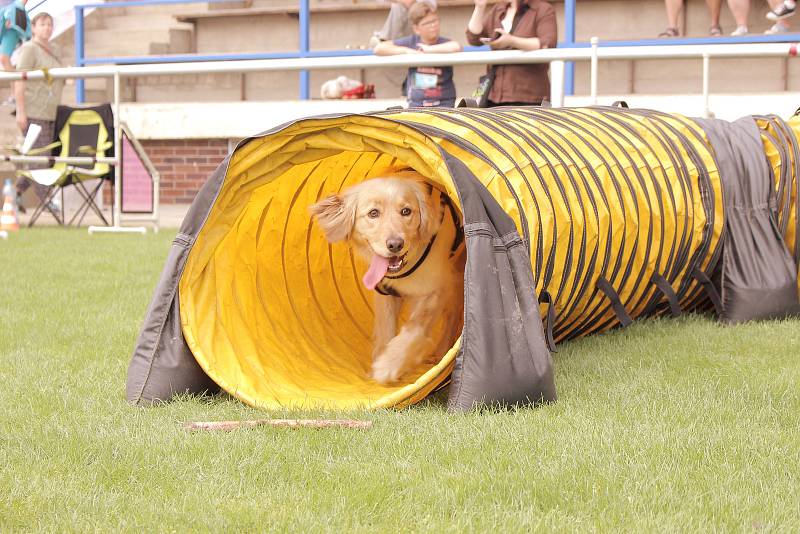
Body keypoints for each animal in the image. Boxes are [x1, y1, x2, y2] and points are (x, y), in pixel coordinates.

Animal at [310, 173, 466, 386]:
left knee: (453, 314)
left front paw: (388, 366)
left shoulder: (435, 289)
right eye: (373, 213)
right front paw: (379, 363)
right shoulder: (385, 293)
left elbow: (413, 330)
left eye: (406, 211)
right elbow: (386, 330)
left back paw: (442, 350)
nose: (395, 244)